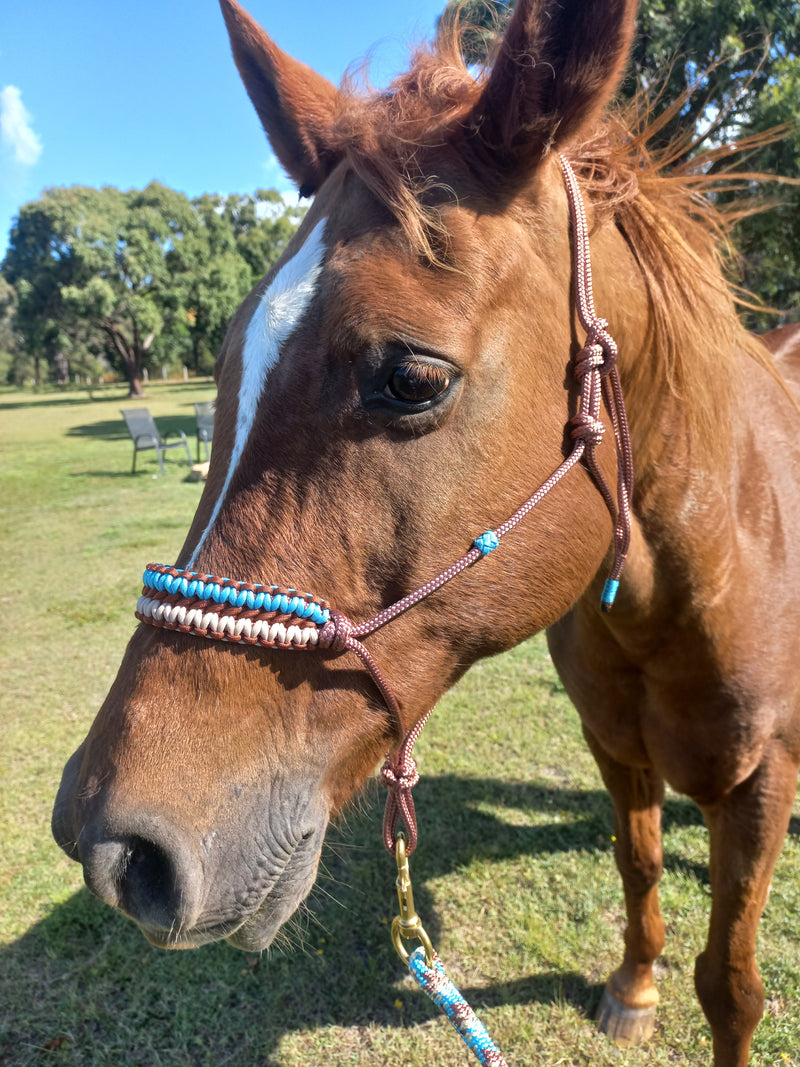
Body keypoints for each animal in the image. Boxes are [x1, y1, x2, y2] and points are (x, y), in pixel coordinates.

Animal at [51, 0, 800, 1062]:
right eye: (227, 357)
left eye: (410, 377)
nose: (111, 843)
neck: (693, 577)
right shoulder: (617, 749)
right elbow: (640, 871)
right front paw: (633, 988)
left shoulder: (761, 785)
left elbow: (732, 988)